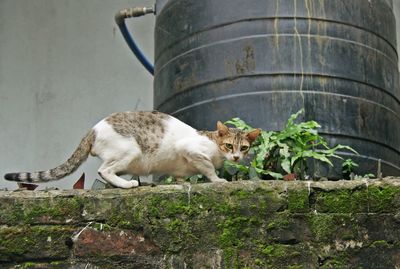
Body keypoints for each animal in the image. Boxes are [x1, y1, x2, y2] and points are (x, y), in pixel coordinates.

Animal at [4, 110, 260, 187]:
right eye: (229, 145)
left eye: (244, 148)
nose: (236, 157)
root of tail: (93, 130)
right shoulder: (191, 149)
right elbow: (207, 168)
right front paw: (217, 179)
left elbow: (181, 176)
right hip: (130, 151)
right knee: (104, 171)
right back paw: (127, 185)